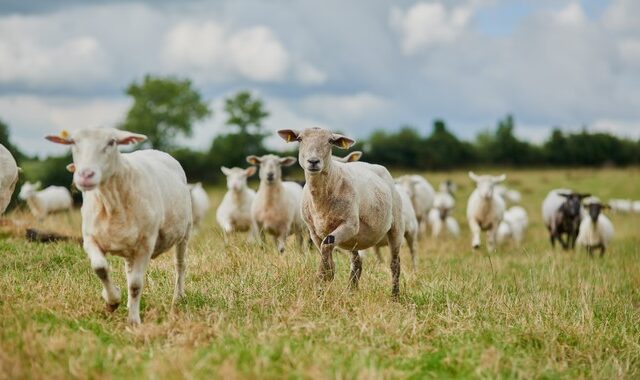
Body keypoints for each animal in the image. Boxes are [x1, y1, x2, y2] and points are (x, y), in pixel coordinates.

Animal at [45, 129, 192, 326]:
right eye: (73, 142)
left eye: (111, 142)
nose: (85, 175)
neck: (111, 202)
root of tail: (157, 151)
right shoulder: (90, 239)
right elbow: (100, 268)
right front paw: (112, 300)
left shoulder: (146, 243)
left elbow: (136, 285)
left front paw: (134, 321)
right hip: (130, 248)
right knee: (129, 272)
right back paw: (130, 303)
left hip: (184, 232)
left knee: (180, 265)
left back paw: (178, 297)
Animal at [278, 127, 402, 296]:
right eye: (300, 139)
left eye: (330, 141)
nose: (313, 161)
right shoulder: (313, 231)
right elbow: (325, 254)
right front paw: (324, 283)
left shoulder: (350, 225)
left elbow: (327, 246)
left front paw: (321, 281)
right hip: (354, 239)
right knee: (356, 263)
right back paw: (351, 292)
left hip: (395, 226)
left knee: (395, 264)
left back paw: (395, 296)